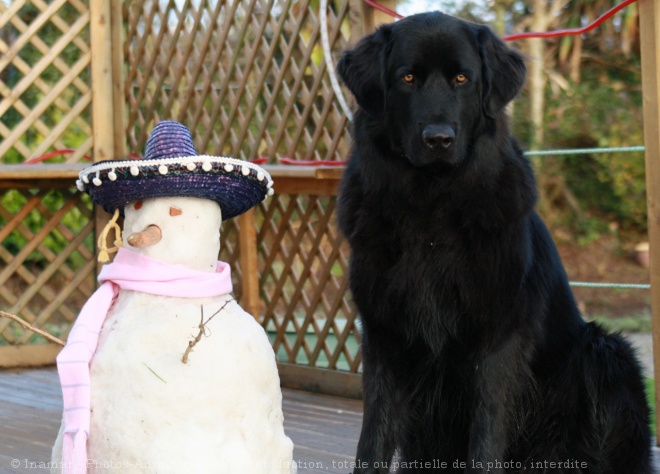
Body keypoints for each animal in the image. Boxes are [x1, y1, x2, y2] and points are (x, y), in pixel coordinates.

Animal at [338, 11, 652, 474]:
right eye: (407, 77)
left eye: (462, 78)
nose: (438, 139)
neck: (431, 208)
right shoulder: (383, 335)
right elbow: (372, 440)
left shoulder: (497, 341)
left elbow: (486, 436)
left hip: (607, 353)